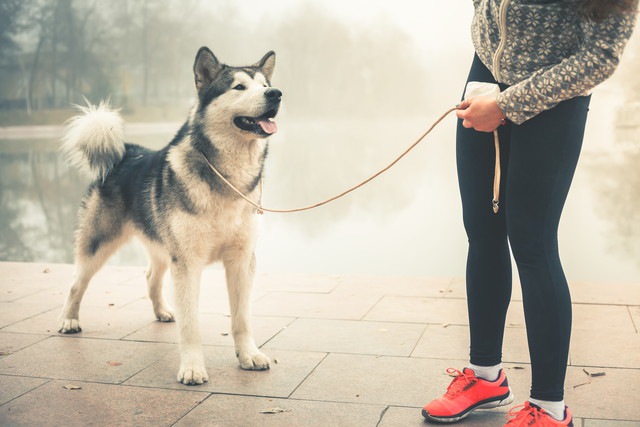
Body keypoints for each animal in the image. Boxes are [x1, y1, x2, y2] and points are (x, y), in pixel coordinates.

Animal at [58, 48, 282, 386]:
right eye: (239, 87)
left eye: (265, 84)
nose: (276, 94)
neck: (227, 179)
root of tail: (126, 151)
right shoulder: (187, 262)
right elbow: (191, 325)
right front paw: (192, 367)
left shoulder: (242, 260)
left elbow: (242, 318)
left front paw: (248, 355)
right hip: (99, 243)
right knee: (76, 282)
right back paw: (69, 319)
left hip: (162, 246)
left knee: (151, 276)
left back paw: (162, 311)